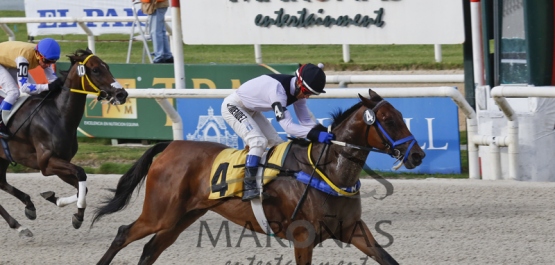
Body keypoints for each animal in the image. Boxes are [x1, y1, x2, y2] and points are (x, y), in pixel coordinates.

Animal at [0, 48, 128, 236]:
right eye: (96, 70)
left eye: (107, 66)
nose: (122, 94)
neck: (59, 115)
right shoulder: (47, 163)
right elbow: (81, 173)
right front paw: (77, 214)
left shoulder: (62, 162)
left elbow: (83, 187)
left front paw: (57, 200)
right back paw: (20, 223)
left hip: (2, 158)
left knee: (2, 182)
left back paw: (25, 213)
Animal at [92, 89, 426, 264]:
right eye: (387, 120)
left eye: (400, 115)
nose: (417, 155)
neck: (327, 171)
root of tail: (170, 146)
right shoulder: (302, 237)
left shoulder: (353, 229)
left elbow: (387, 257)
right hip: (160, 213)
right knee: (123, 233)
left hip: (183, 215)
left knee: (151, 248)